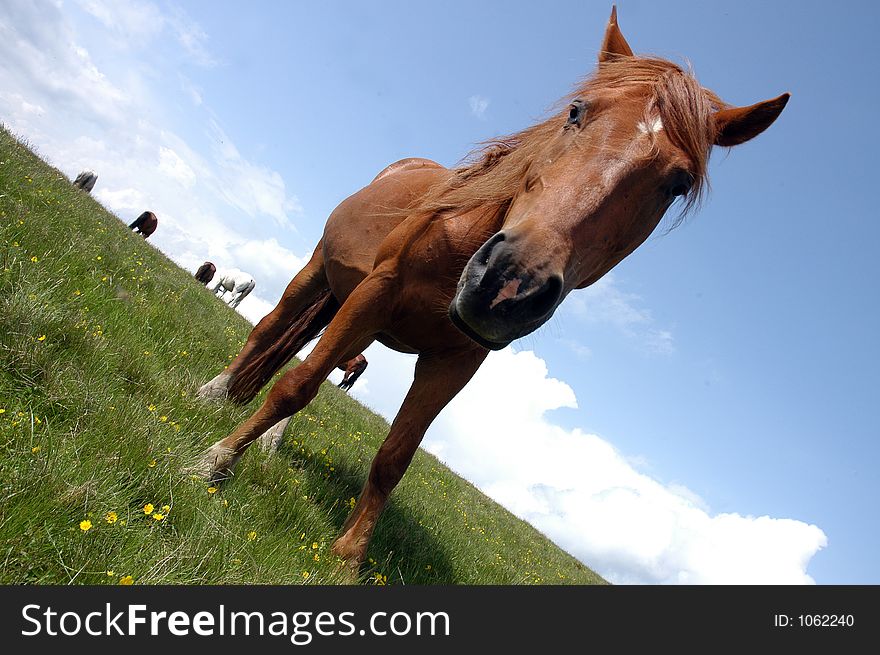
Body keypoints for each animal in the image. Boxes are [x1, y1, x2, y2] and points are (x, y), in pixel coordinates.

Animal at [196, 9, 788, 576]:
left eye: (678, 184)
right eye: (577, 112)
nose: (509, 284)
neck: (462, 235)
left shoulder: (457, 361)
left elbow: (394, 456)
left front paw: (348, 557)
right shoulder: (377, 293)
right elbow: (296, 384)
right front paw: (215, 462)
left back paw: (269, 439)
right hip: (319, 273)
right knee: (273, 330)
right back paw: (214, 393)